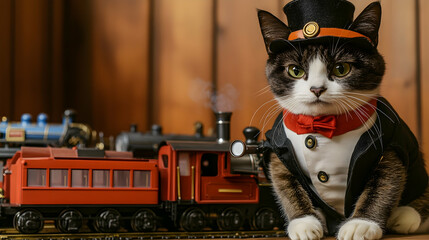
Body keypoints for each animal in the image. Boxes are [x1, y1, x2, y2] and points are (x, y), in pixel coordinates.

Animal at [256, 0, 428, 240]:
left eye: (341, 69)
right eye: (295, 70)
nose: (316, 89)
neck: (324, 125)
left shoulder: (390, 144)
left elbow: (383, 186)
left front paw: (361, 224)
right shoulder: (278, 150)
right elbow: (286, 184)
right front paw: (303, 222)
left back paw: (405, 215)